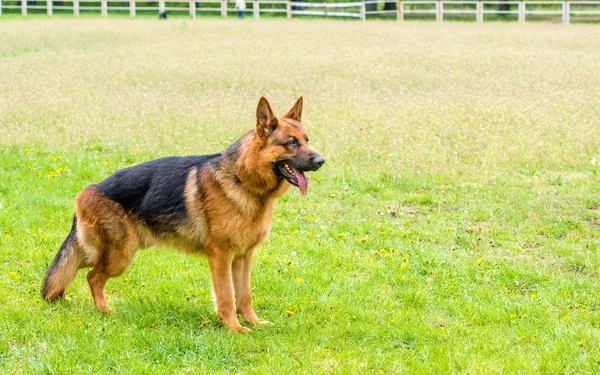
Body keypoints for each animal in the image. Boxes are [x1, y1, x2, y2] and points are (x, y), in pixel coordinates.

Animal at [43, 97, 324, 334]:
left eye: (307, 140)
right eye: (291, 142)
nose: (321, 161)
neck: (242, 179)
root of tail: (85, 192)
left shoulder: (244, 256)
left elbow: (243, 295)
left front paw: (252, 322)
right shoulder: (221, 257)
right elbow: (226, 296)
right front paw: (233, 328)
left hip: (108, 252)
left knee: (74, 271)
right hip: (119, 256)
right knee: (91, 277)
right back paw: (104, 310)